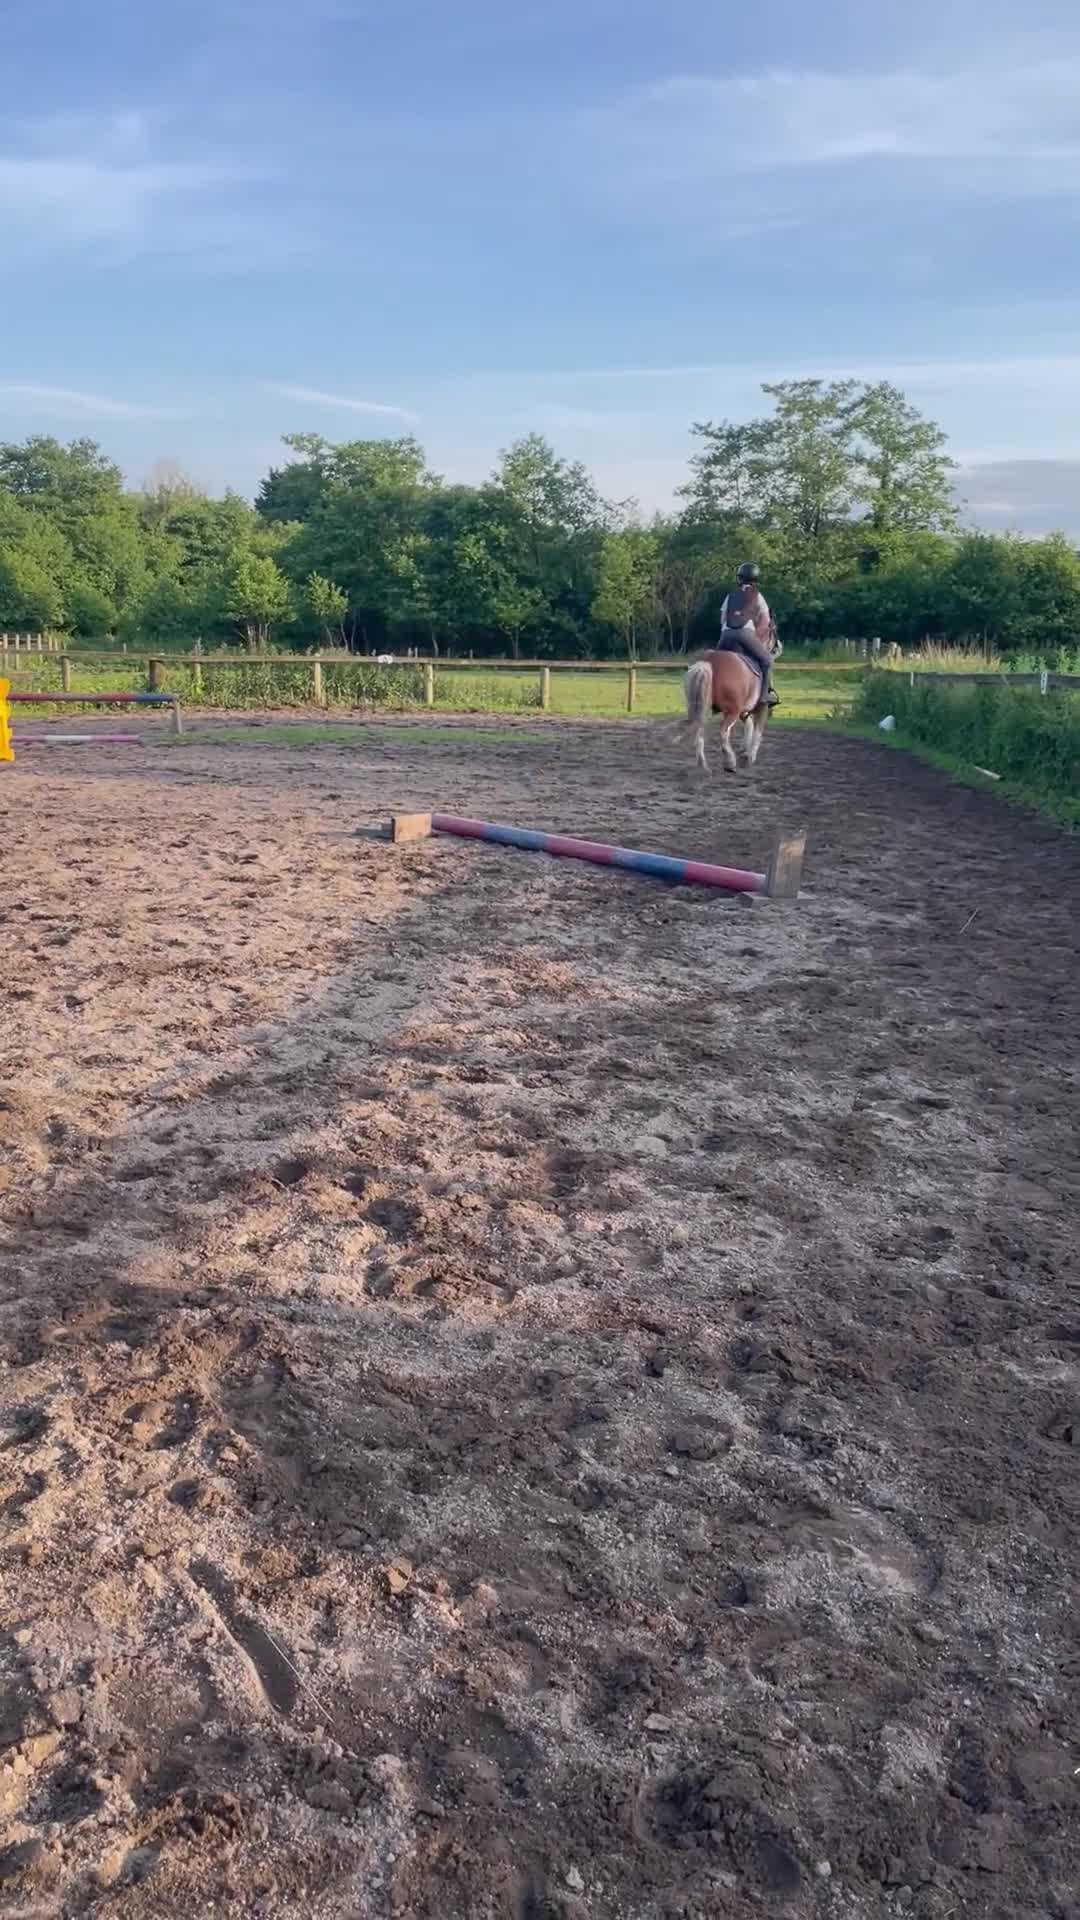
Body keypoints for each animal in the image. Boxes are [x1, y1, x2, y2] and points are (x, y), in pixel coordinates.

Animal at [679, 633, 783, 774]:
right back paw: (730, 763)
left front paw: (744, 750)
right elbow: (757, 732)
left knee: (699, 732)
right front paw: (749, 757)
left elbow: (749, 725)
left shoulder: (743, 711)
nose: (778, 646)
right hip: (732, 712)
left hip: (704, 710)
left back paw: (703, 766)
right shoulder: (761, 707)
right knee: (723, 732)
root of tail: (710, 661)